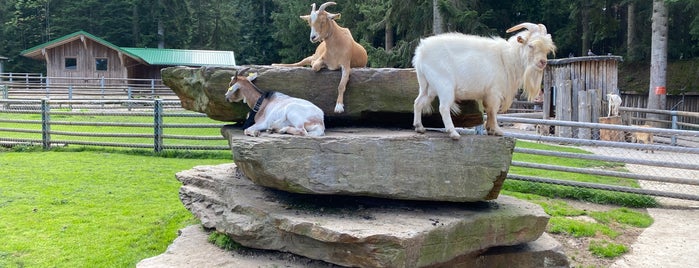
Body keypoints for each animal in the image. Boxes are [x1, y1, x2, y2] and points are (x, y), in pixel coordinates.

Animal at [410, 22, 556, 139]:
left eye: (547, 49)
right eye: (531, 45)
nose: (542, 62)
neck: (507, 58)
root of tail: (420, 53)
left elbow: (490, 112)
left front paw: (490, 130)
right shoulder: (494, 92)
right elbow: (493, 110)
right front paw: (496, 130)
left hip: (427, 86)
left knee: (418, 102)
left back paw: (419, 127)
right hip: (444, 84)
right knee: (444, 107)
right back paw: (453, 133)